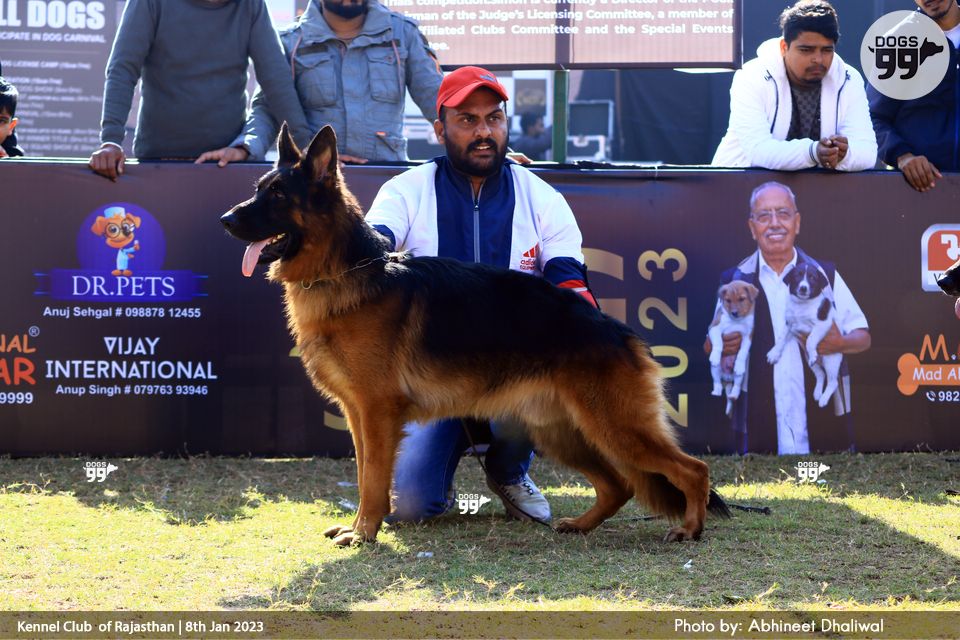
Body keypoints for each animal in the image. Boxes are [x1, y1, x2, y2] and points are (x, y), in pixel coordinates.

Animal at [221, 125, 728, 546]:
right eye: (259, 189)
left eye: (278, 194)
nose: (225, 220)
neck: (344, 271)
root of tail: (620, 331)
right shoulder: (357, 414)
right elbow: (366, 474)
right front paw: (359, 527)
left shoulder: (375, 413)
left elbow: (373, 480)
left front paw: (364, 533)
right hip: (566, 431)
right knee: (619, 484)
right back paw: (582, 525)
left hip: (616, 428)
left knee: (693, 470)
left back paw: (690, 529)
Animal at [708, 280, 759, 414]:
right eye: (728, 300)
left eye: (742, 299)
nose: (734, 313)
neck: (737, 322)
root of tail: (727, 378)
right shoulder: (714, 328)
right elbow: (719, 343)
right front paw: (715, 356)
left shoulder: (747, 336)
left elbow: (742, 352)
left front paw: (739, 364)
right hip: (714, 370)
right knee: (717, 383)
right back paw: (715, 393)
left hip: (740, 377)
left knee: (736, 387)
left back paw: (733, 395)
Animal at [766, 262, 841, 408]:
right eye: (797, 276)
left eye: (812, 278)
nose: (803, 288)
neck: (801, 305)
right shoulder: (790, 324)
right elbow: (781, 338)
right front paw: (774, 353)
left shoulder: (823, 324)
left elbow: (810, 340)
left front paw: (812, 351)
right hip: (810, 362)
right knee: (821, 374)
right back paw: (817, 393)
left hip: (831, 360)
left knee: (833, 382)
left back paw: (824, 398)